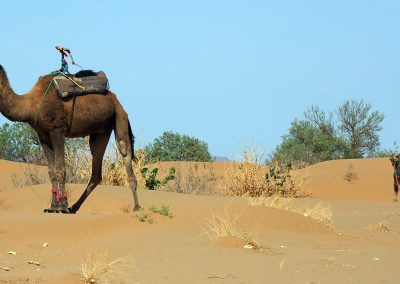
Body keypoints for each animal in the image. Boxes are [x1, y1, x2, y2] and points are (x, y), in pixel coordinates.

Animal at [0, 65, 141, 213]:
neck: (31, 104)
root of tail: (114, 97)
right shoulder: (42, 134)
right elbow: (51, 171)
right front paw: (52, 207)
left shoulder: (57, 129)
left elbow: (61, 169)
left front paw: (62, 206)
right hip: (102, 131)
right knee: (96, 171)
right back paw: (74, 207)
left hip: (120, 115)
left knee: (124, 149)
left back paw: (137, 206)